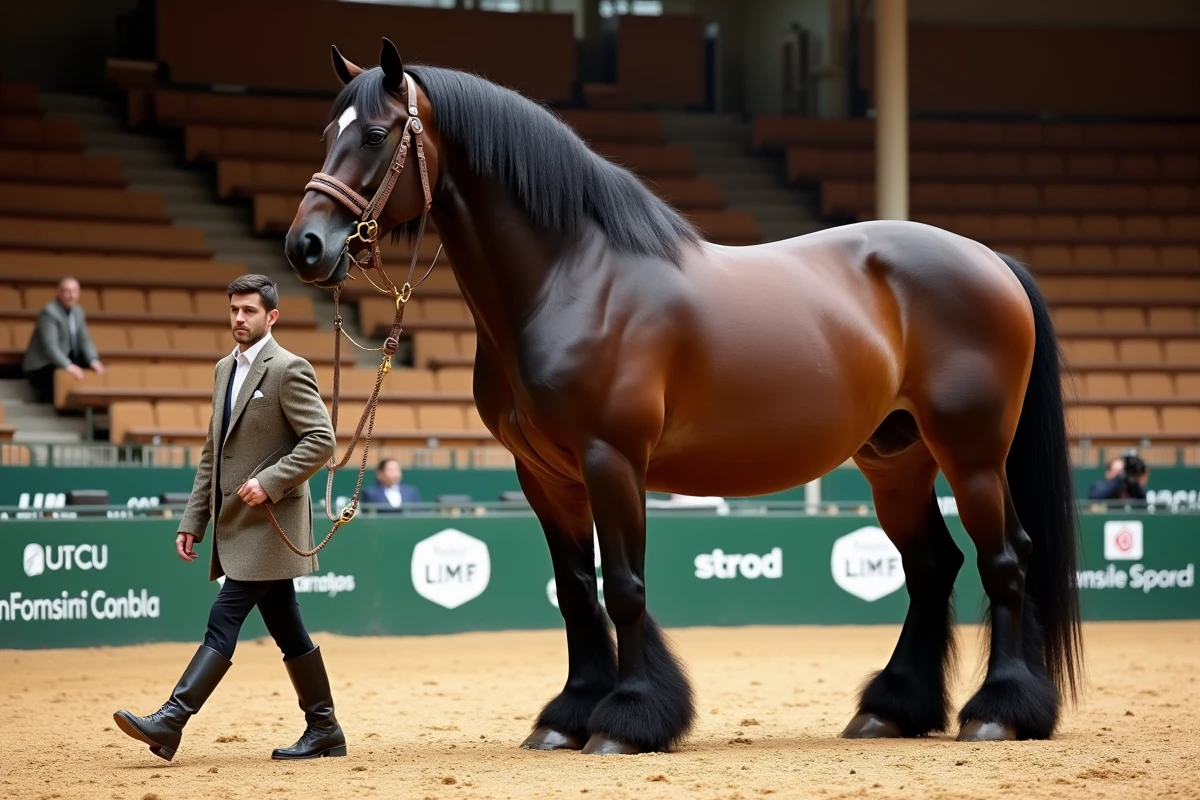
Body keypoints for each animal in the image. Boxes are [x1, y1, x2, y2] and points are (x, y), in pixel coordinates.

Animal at [283, 38, 1083, 755]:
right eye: (326, 134)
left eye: (377, 134)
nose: (305, 247)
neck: (572, 277)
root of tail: (990, 260)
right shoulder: (543, 474)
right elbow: (576, 590)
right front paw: (567, 718)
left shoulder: (612, 460)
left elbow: (624, 586)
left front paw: (628, 718)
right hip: (896, 460)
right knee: (932, 568)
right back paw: (891, 709)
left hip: (971, 453)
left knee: (1005, 560)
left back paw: (999, 711)